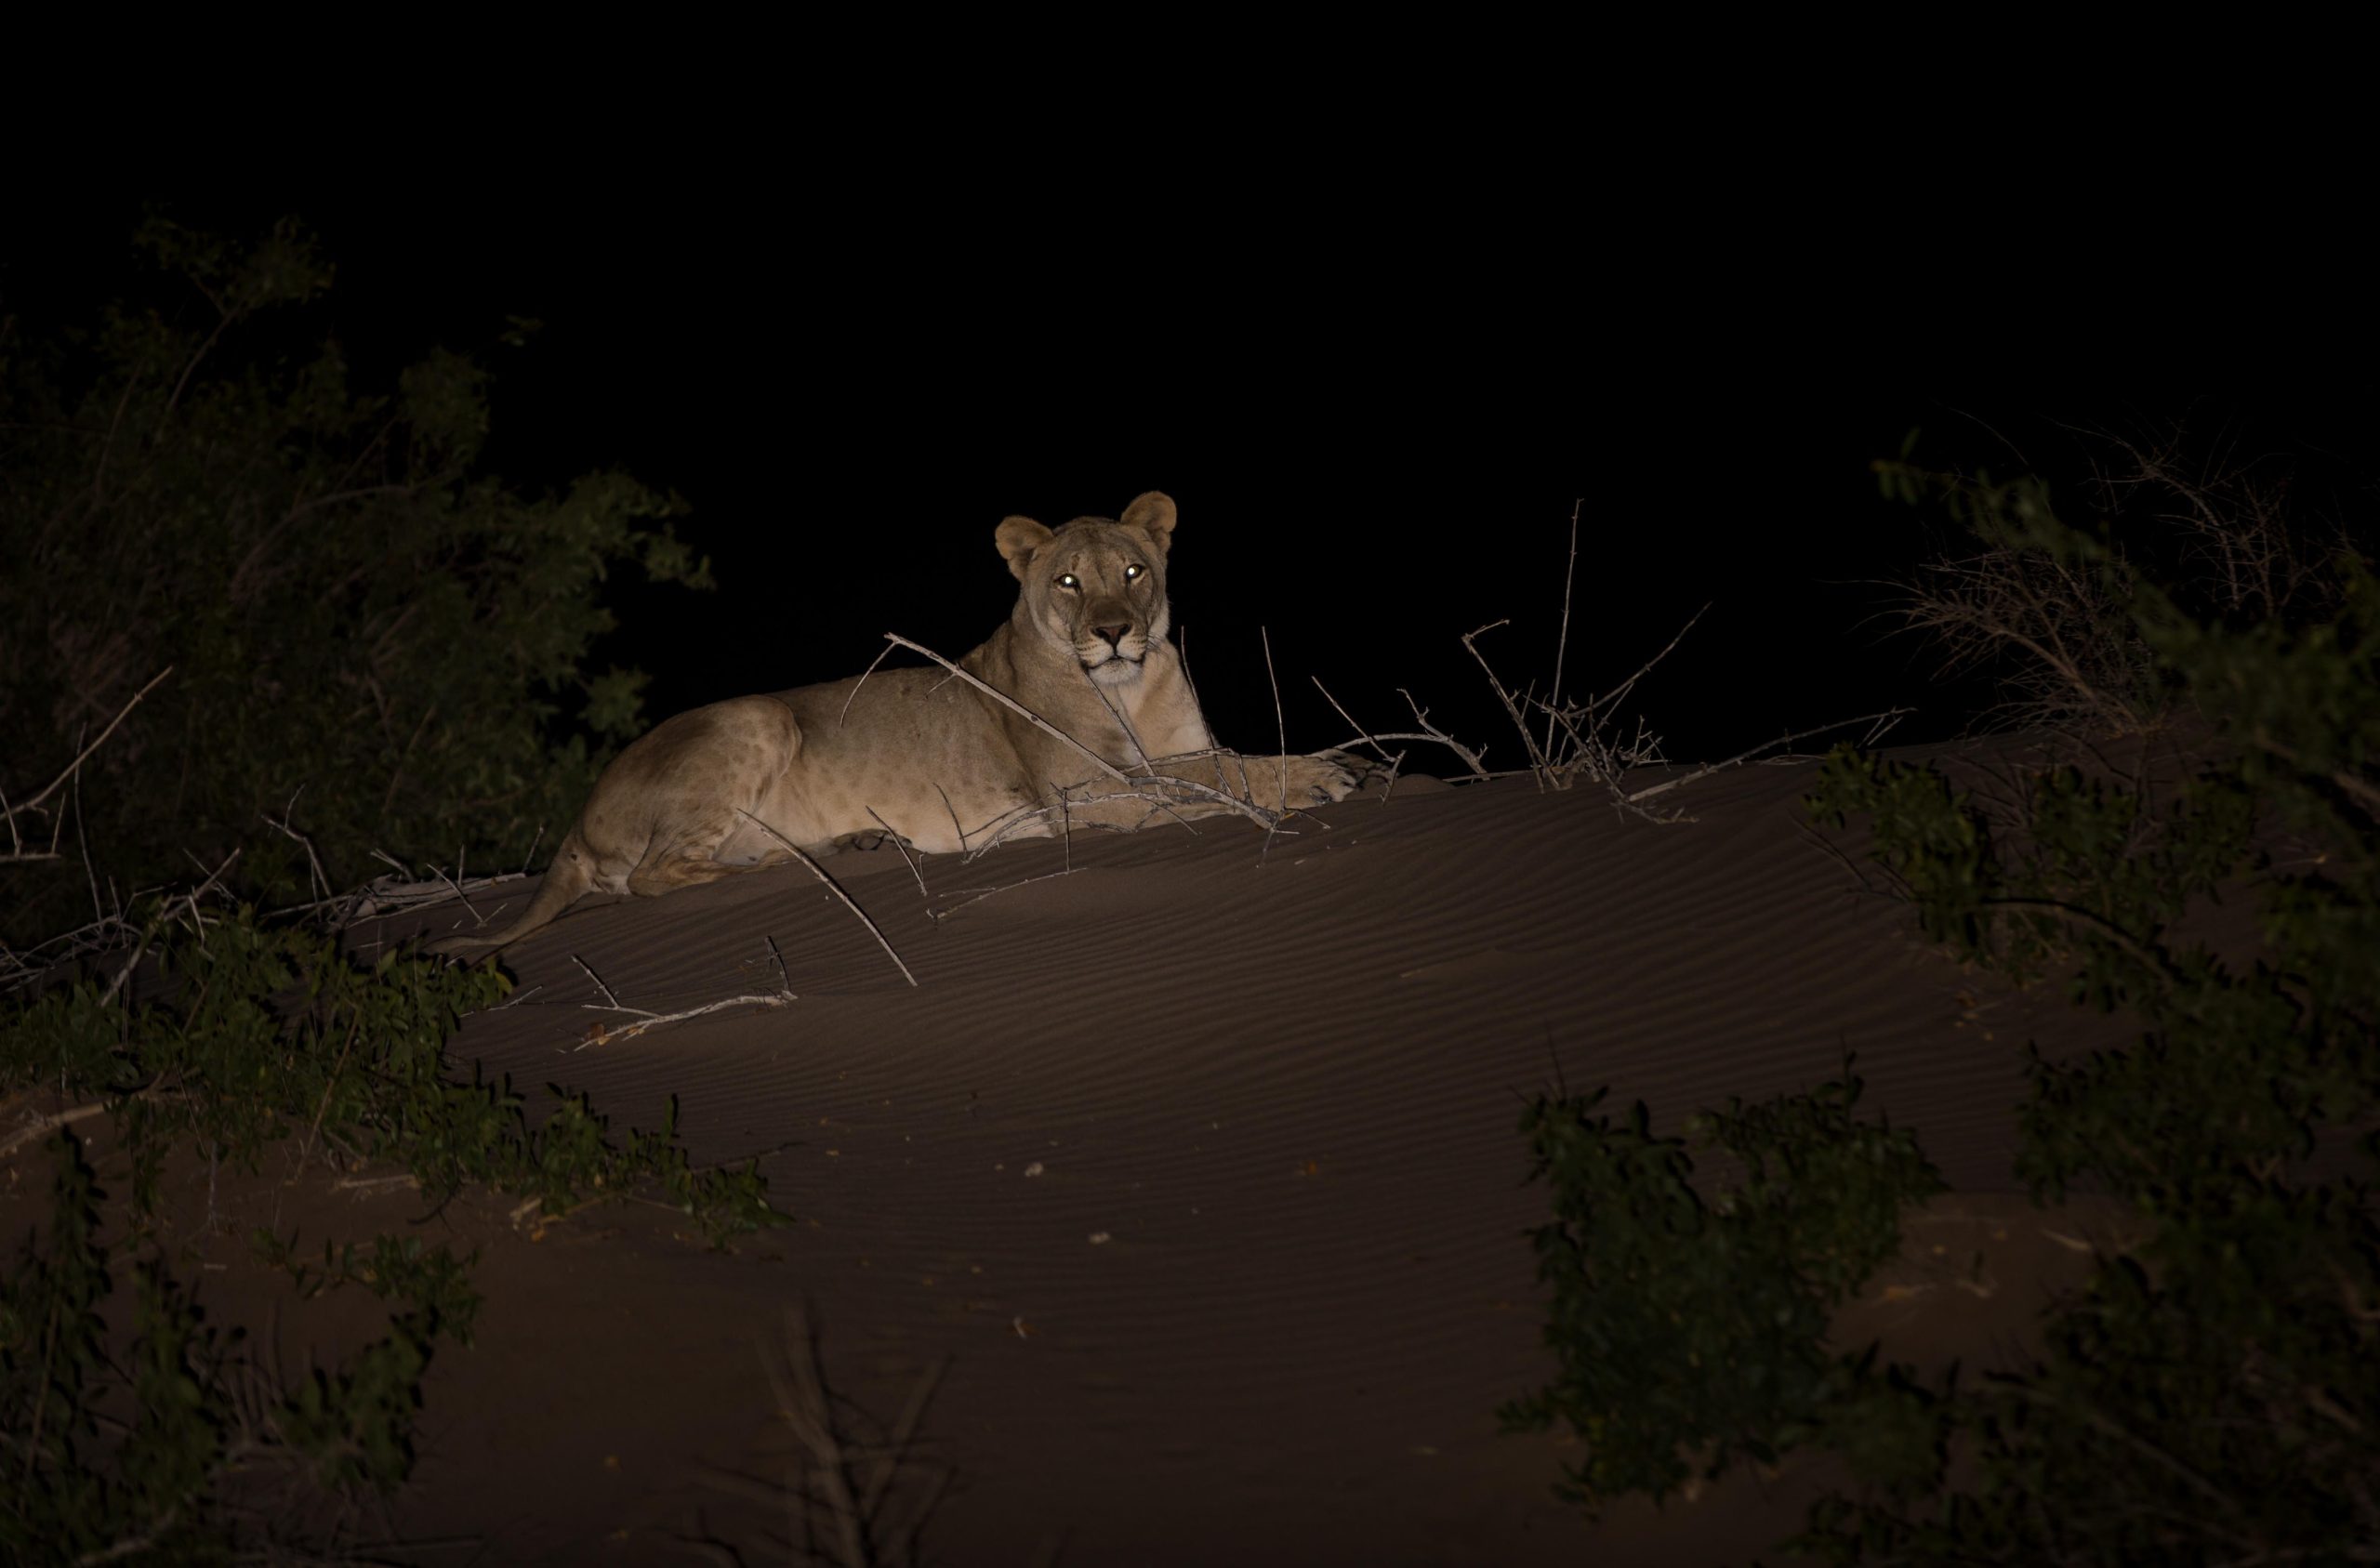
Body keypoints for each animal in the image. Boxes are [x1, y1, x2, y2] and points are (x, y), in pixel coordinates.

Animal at [429, 491, 1357, 952]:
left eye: (1133, 571)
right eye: (1067, 581)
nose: (1114, 631)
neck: (1128, 688)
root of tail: (578, 820)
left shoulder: (1142, 762)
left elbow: (1212, 760)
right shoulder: (1083, 790)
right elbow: (1214, 774)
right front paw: (1321, 774)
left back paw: (857, 844)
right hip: (758, 717)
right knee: (656, 874)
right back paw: (805, 864)